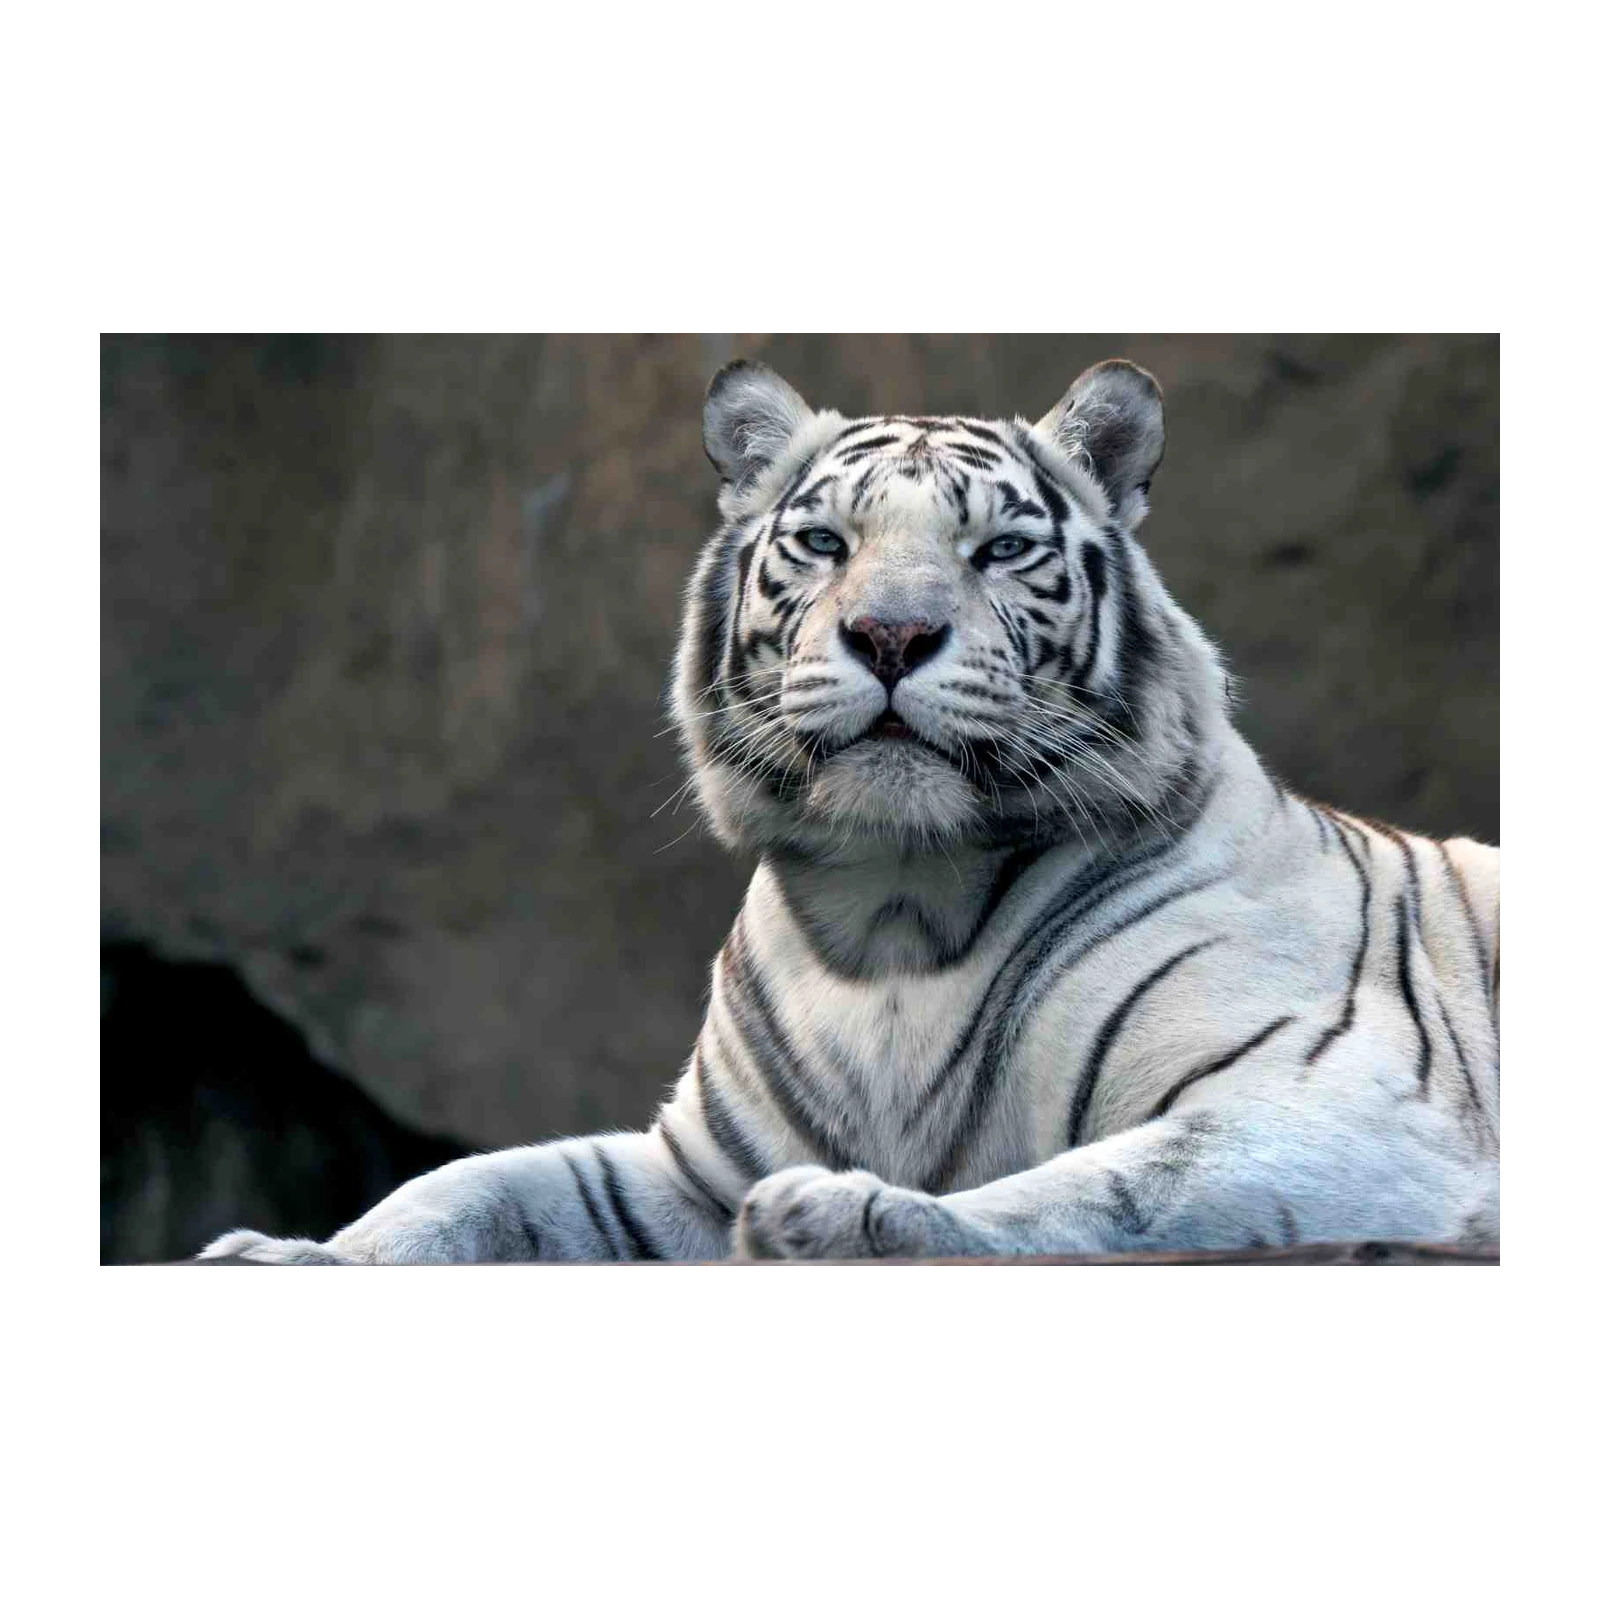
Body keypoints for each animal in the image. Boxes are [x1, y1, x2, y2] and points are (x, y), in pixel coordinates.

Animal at [201, 356, 1503, 1266]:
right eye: (825, 541)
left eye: (1001, 549)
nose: (890, 634)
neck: (894, 907)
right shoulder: (690, 1168)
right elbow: (478, 1183)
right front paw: (289, 1250)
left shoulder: (1332, 1101)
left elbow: (1104, 1187)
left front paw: (843, 1213)